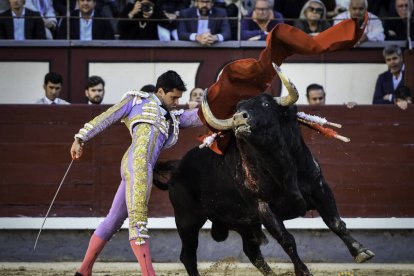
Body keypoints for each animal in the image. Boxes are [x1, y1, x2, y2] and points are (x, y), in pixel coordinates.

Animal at [155, 94, 376, 274]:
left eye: (265, 104)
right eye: (237, 108)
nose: (238, 118)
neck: (281, 164)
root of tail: (177, 168)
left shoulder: (320, 188)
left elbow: (336, 222)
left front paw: (361, 251)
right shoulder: (264, 207)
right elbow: (287, 240)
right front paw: (304, 271)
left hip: (243, 222)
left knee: (252, 252)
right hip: (187, 220)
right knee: (188, 256)